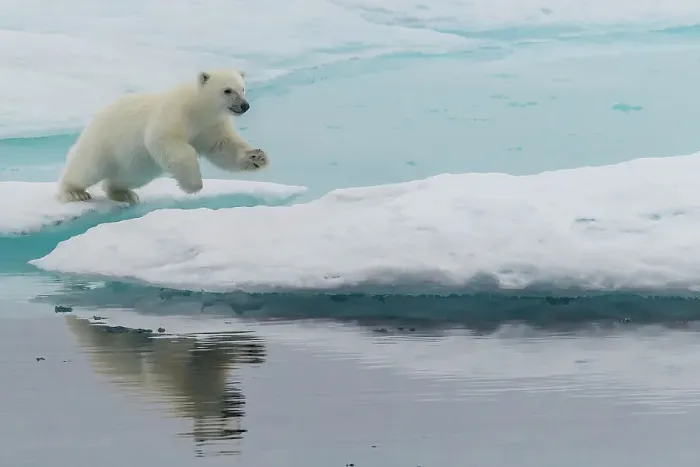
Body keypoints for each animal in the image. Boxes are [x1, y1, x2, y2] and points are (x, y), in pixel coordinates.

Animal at [56, 69, 269, 204]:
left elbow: (222, 147)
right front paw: (193, 184)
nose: (244, 105)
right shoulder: (174, 112)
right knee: (87, 167)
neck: (198, 109)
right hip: (103, 143)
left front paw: (257, 157)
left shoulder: (210, 126)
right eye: (227, 90)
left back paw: (125, 193)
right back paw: (74, 193)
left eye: (242, 88)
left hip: (130, 164)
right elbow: (166, 140)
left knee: (127, 176)